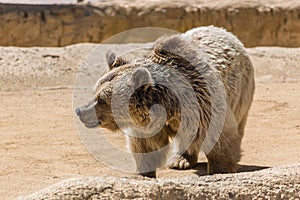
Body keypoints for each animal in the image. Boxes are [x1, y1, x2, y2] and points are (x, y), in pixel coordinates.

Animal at [75, 25, 255, 177]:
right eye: (94, 92)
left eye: (101, 100)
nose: (80, 111)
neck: (169, 106)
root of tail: (225, 32)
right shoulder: (147, 125)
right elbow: (145, 147)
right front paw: (145, 173)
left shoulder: (203, 102)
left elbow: (219, 139)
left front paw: (220, 170)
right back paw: (180, 160)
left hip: (240, 92)